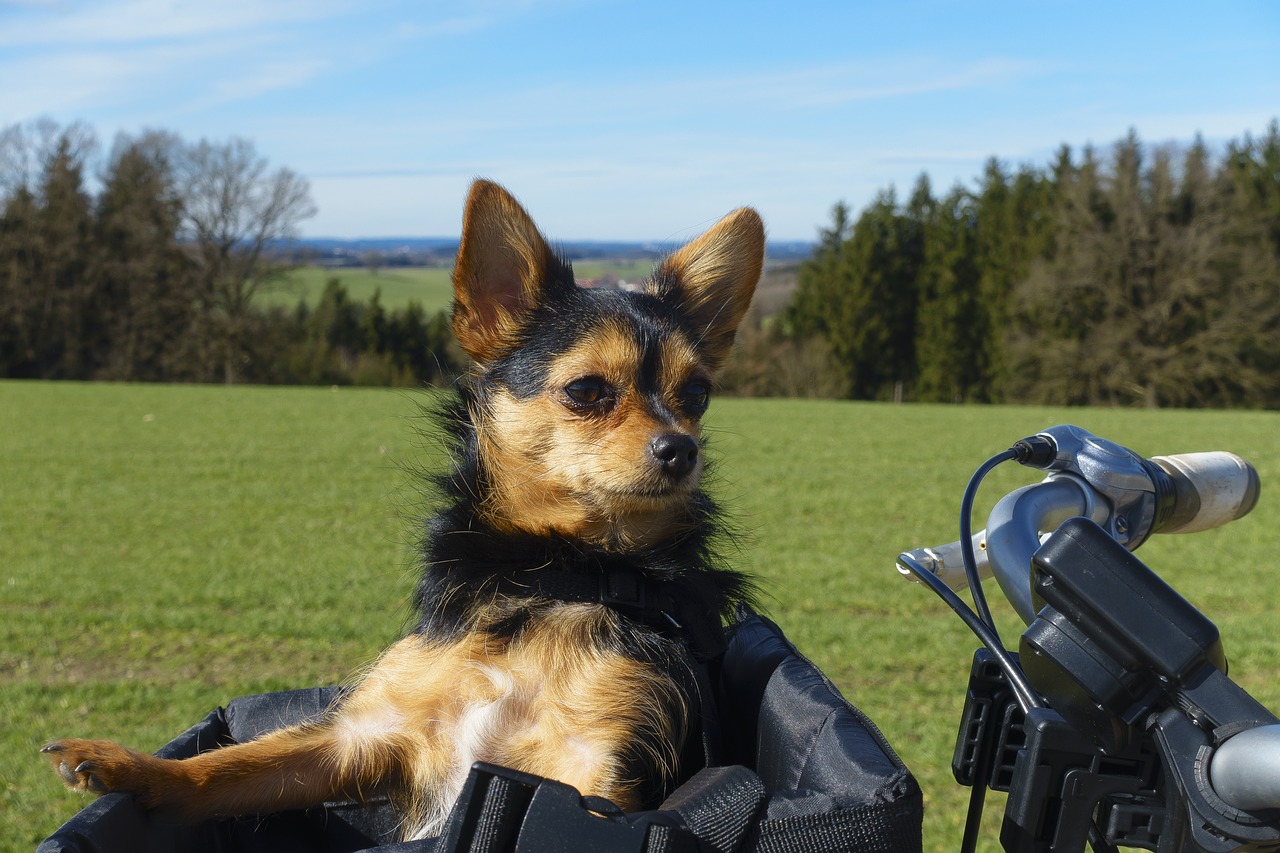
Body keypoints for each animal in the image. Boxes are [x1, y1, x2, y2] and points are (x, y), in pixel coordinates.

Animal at [45, 178, 762, 835]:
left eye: (697, 394)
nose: (681, 449)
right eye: (587, 390)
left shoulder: (593, 775)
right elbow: (230, 765)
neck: (556, 572)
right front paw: (132, 766)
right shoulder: (361, 734)